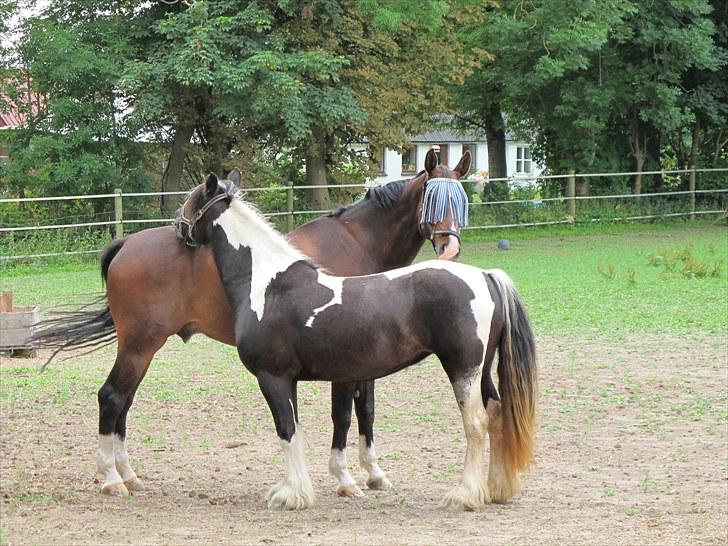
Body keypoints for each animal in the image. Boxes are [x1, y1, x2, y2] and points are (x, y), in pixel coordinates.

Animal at [32, 149, 472, 498]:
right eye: (433, 200)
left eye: (462, 200)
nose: (449, 247)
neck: (356, 243)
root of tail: (128, 244)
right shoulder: (342, 366)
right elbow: (344, 416)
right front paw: (345, 479)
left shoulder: (366, 359)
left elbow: (367, 412)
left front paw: (374, 473)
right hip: (140, 345)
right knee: (112, 398)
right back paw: (112, 479)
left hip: (143, 349)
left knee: (123, 402)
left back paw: (128, 475)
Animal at [175, 172, 540, 508]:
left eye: (193, 200)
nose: (178, 226)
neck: (270, 284)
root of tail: (485, 276)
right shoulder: (296, 380)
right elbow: (301, 429)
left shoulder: (273, 378)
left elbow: (288, 431)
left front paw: (292, 495)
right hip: (482, 371)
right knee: (497, 415)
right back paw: (496, 489)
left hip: (463, 369)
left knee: (477, 424)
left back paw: (464, 495)